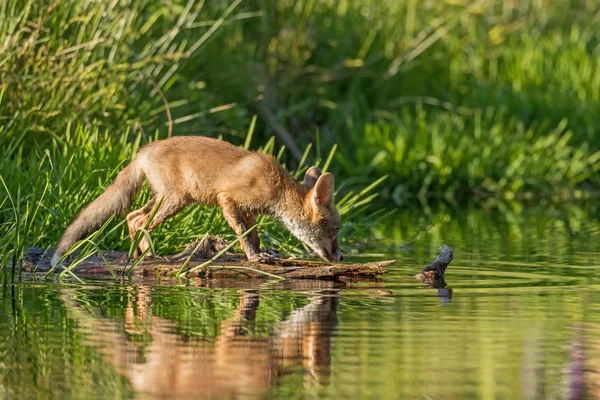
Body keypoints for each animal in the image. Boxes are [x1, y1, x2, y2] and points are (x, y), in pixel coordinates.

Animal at [51, 135, 342, 268]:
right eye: (336, 228)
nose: (340, 256)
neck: (277, 186)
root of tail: (143, 151)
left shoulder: (248, 209)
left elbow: (254, 233)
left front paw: (263, 252)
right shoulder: (227, 198)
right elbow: (242, 233)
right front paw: (254, 257)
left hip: (164, 198)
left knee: (132, 217)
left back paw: (137, 255)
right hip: (176, 200)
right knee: (141, 222)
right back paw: (148, 256)